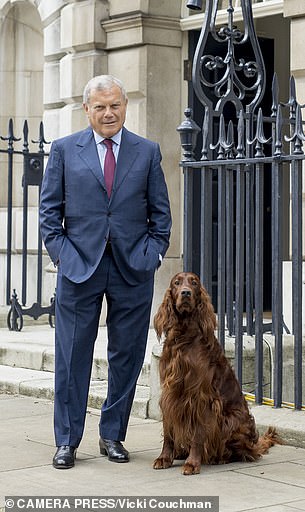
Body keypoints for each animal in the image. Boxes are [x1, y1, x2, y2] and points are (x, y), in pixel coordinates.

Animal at [153, 272, 282, 476]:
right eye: (177, 283)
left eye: (194, 283)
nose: (186, 293)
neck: (184, 336)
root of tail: (254, 444)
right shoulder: (169, 393)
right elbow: (168, 431)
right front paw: (165, 458)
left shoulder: (201, 397)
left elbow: (198, 433)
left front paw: (192, 463)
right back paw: (182, 452)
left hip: (230, 420)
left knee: (242, 452)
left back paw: (218, 458)